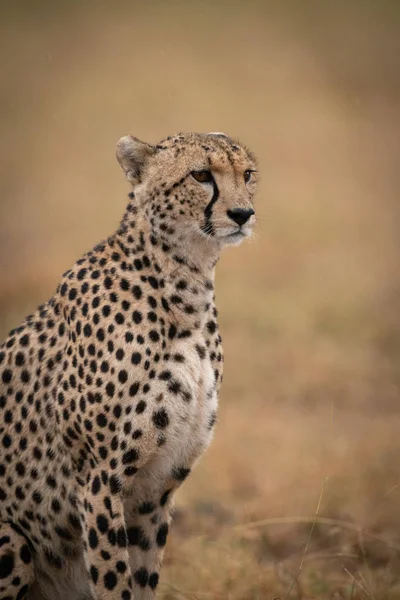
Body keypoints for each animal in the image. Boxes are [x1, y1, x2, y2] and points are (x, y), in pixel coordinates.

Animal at [0, 132, 258, 600]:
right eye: (201, 175)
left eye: (247, 174)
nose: (243, 213)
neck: (184, 287)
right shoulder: (99, 478)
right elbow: (112, 577)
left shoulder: (156, 489)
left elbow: (142, 577)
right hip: (14, 540)